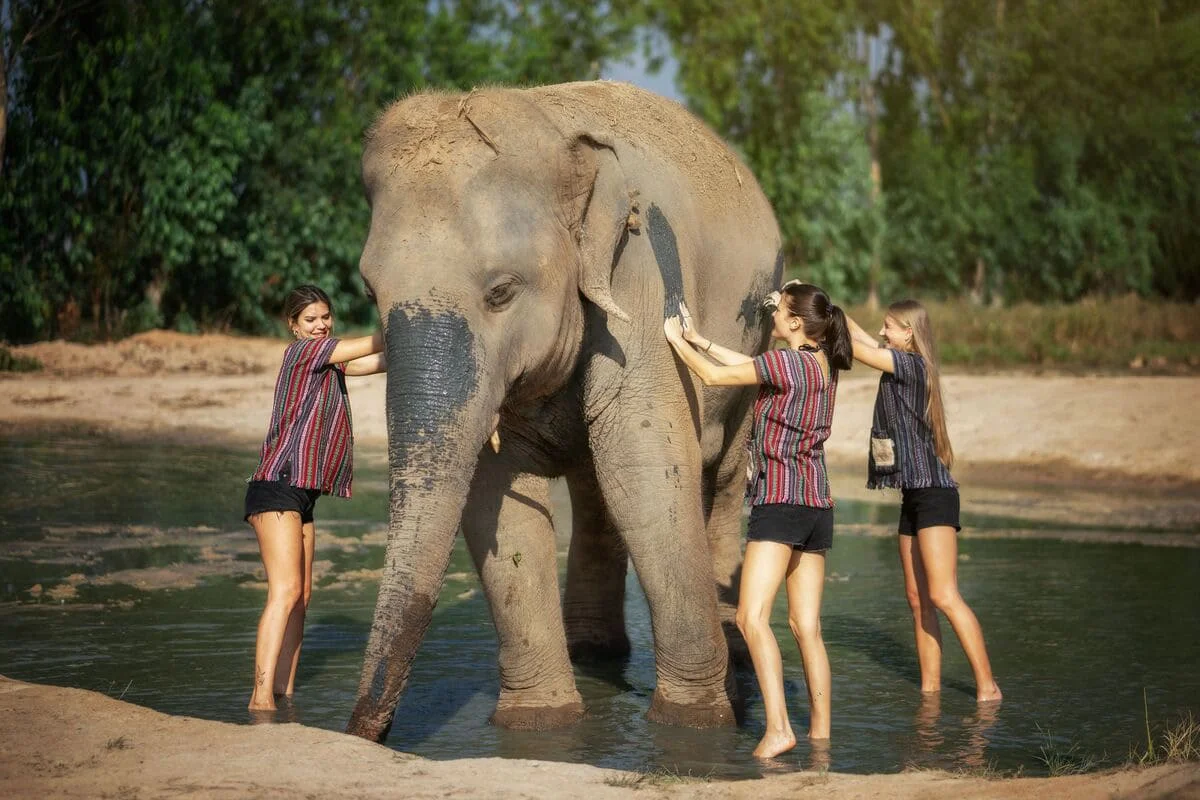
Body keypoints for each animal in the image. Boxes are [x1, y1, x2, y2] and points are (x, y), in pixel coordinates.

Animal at [347, 80, 782, 743]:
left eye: (501, 292)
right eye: (372, 293)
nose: (360, 729)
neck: (554, 130)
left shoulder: (639, 276)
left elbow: (647, 476)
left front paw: (694, 727)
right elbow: (496, 498)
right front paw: (541, 724)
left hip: (750, 354)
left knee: (723, 477)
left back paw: (732, 655)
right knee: (595, 490)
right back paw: (594, 653)